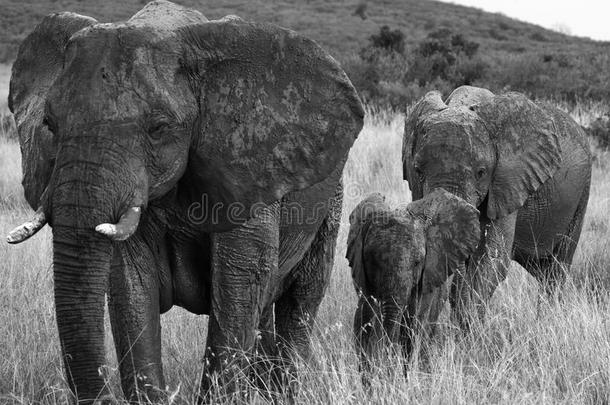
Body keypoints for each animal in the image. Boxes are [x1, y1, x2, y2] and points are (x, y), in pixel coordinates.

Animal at [7, 1, 364, 402]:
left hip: (331, 202)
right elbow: (131, 286)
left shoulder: (247, 171)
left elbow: (240, 283)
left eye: (158, 129)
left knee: (300, 303)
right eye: (50, 125)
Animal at [404, 86, 588, 328]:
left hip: (581, 195)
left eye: (481, 172)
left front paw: (470, 331)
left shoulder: (508, 182)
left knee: (556, 269)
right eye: (418, 170)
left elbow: (492, 259)